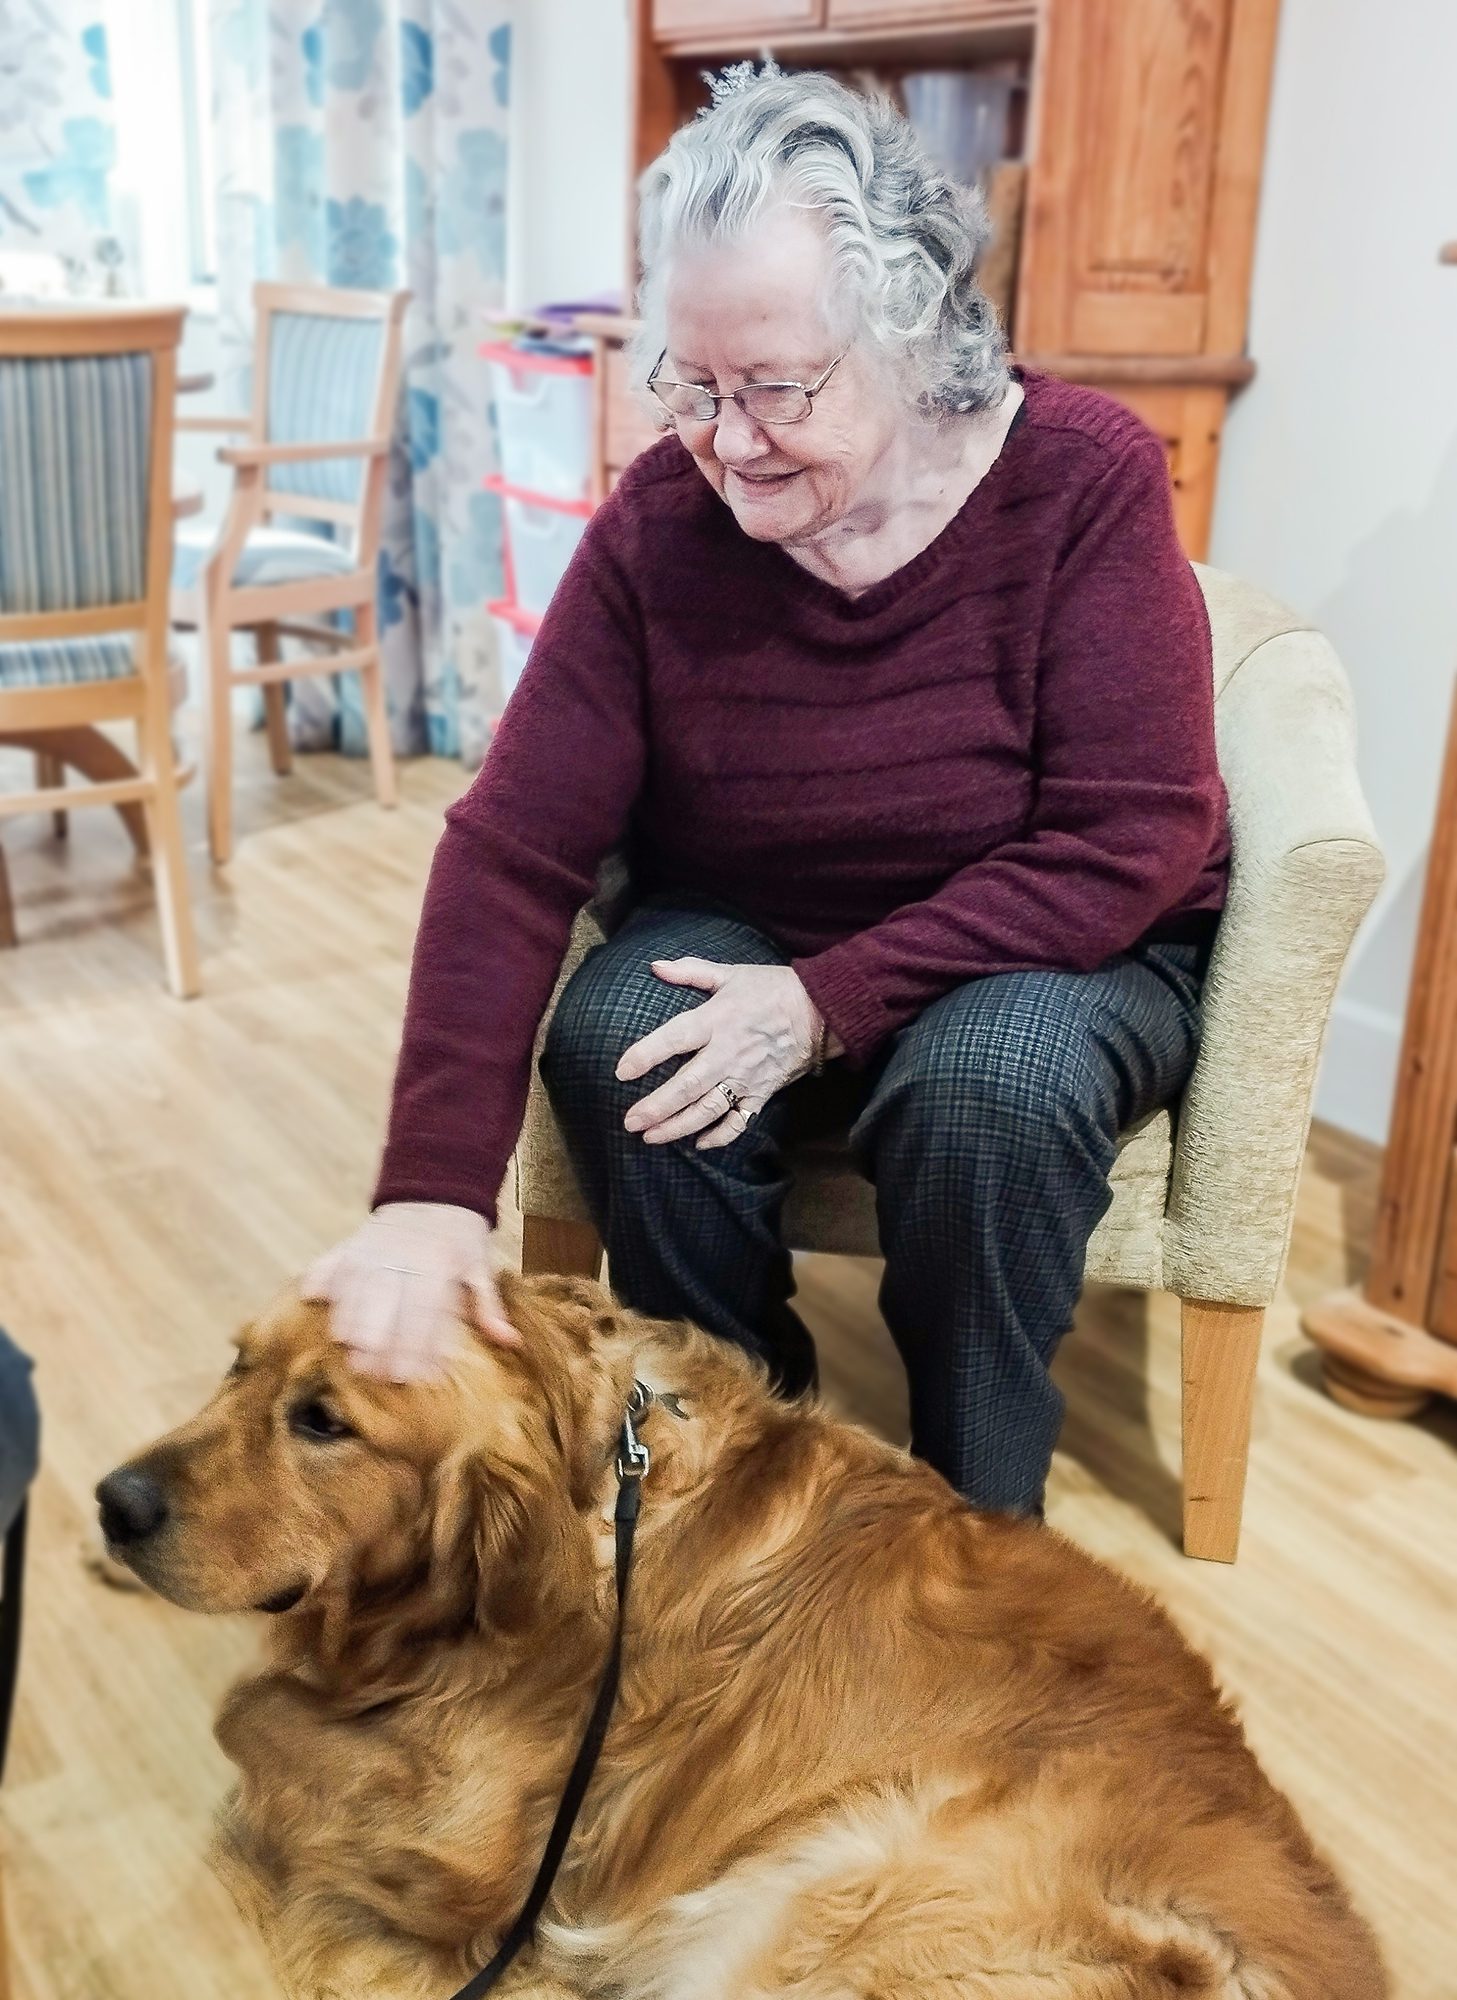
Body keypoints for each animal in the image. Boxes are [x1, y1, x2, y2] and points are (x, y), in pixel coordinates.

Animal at [96, 1280, 1384, 2000]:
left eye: (324, 1421)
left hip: (834, 1902)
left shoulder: (475, 1846)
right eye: (237, 1363)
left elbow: (247, 1712)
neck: (595, 1489)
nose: (114, 1501)